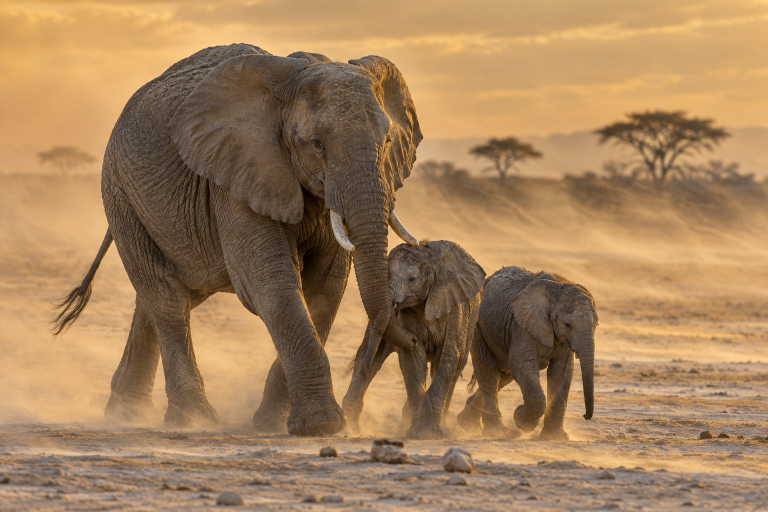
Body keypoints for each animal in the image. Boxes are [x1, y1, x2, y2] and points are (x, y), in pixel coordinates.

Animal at [52, 44, 423, 436]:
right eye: (316, 144)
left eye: (387, 140)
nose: (413, 340)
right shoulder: (234, 174)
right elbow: (267, 283)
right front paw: (321, 426)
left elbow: (325, 288)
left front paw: (271, 423)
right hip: (120, 192)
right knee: (166, 297)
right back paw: (192, 418)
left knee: (165, 295)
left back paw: (126, 414)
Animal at [342, 240, 486, 439]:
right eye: (386, 274)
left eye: (411, 279)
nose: (413, 339)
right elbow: (413, 359)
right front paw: (418, 432)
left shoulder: (456, 308)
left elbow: (449, 357)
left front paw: (429, 433)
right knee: (371, 360)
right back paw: (353, 426)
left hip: (471, 322)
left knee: (456, 366)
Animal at [456, 266, 598, 441]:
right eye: (567, 325)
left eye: (596, 324)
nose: (585, 416)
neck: (558, 288)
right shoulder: (522, 325)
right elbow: (520, 362)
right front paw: (522, 421)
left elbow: (562, 372)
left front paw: (555, 437)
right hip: (478, 328)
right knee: (489, 373)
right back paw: (496, 432)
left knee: (503, 376)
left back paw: (466, 423)